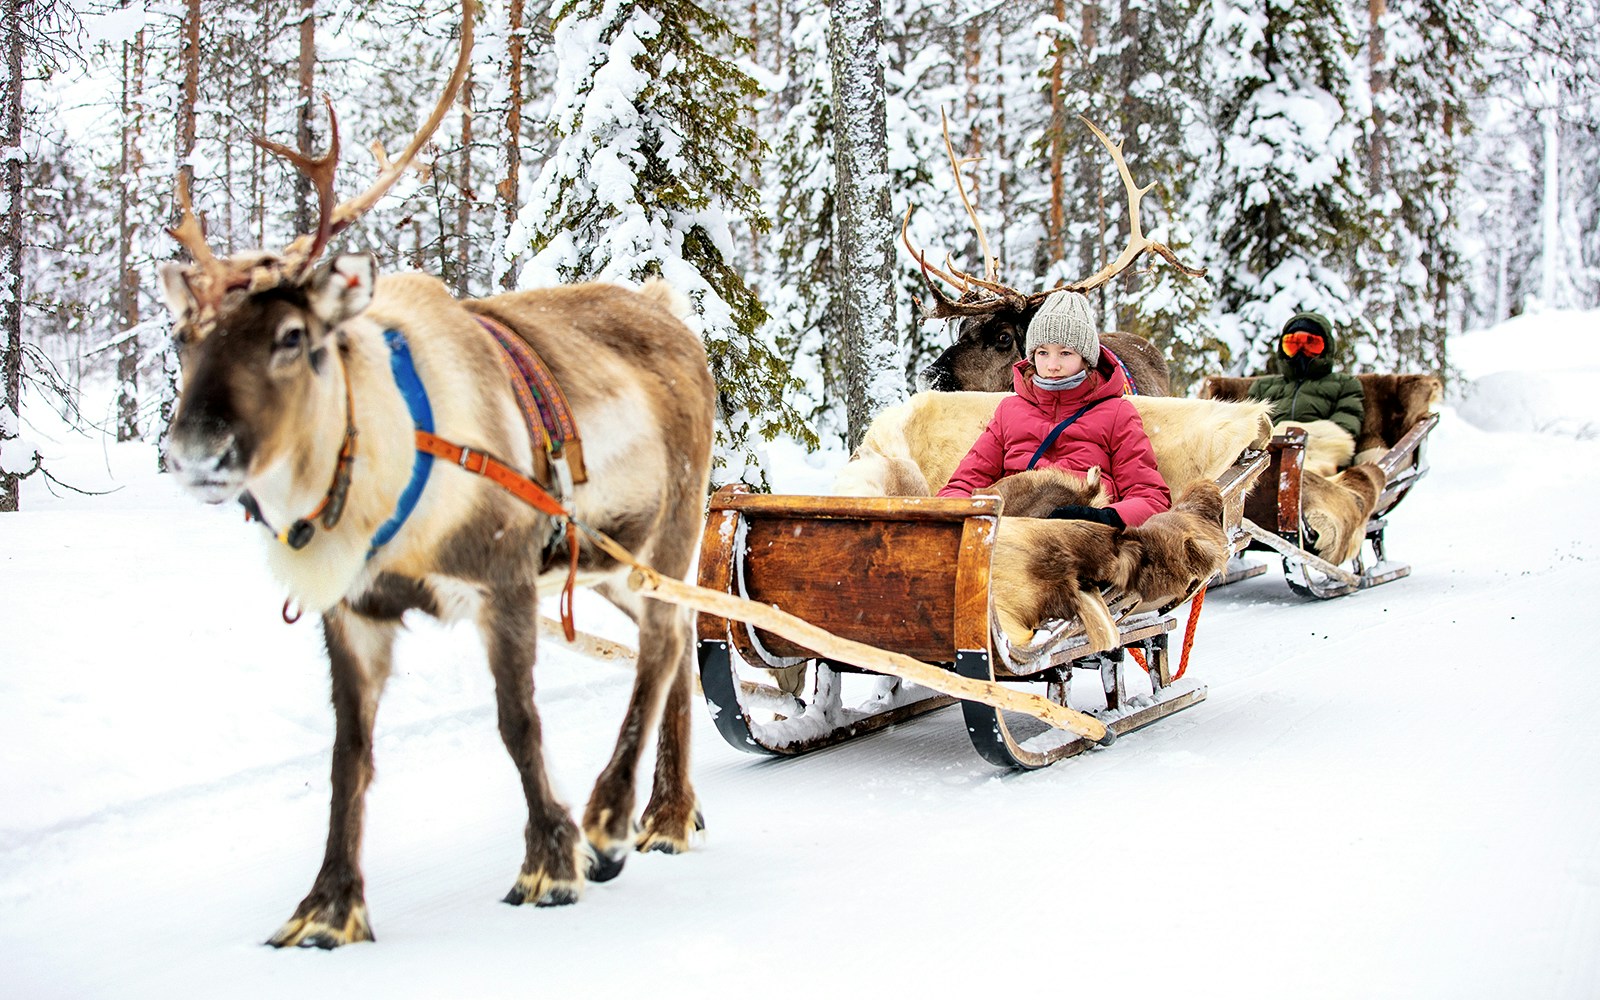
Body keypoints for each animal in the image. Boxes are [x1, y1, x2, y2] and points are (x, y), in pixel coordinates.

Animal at [157, 1, 714, 948]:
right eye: (183, 336)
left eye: (292, 337)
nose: (197, 452)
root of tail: (669, 309)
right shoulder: (352, 614)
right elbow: (348, 758)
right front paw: (327, 908)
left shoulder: (503, 579)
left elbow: (518, 722)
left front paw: (552, 860)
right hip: (610, 564)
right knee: (673, 644)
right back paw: (668, 814)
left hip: (672, 526)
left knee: (668, 642)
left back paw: (612, 819)